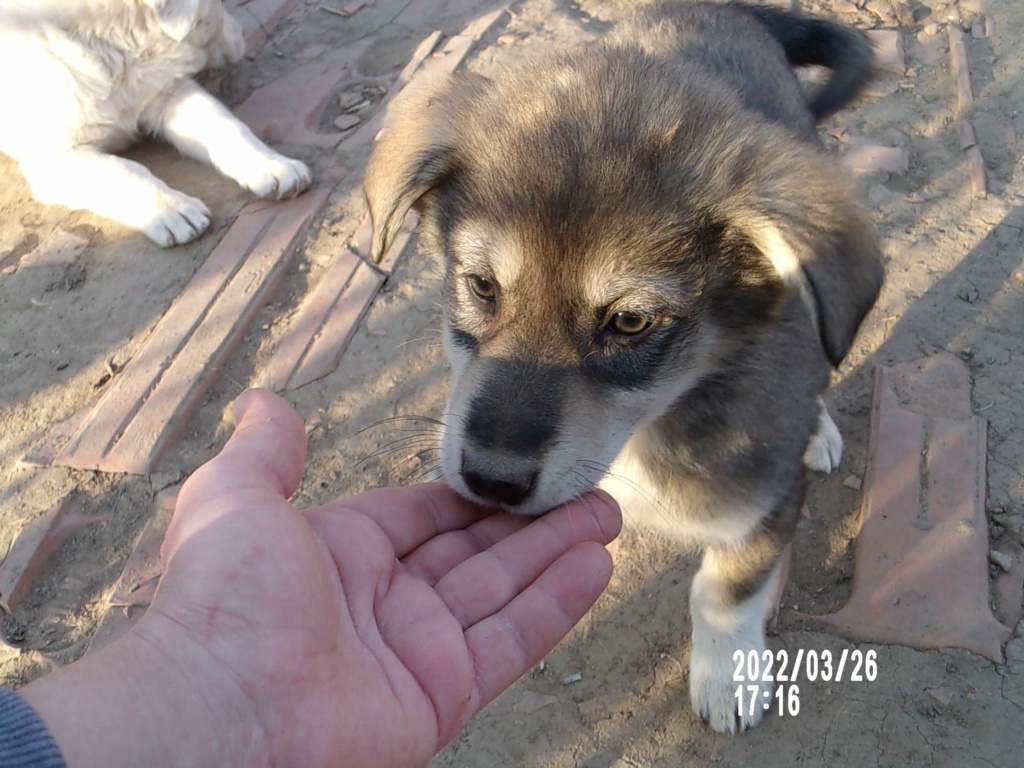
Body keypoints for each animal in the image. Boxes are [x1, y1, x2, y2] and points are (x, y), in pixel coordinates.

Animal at [0, 0, 309, 246]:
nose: (243, 34)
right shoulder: (51, 156)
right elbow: (121, 169)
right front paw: (173, 210)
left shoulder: (166, 91)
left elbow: (226, 126)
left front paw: (273, 165)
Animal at [360, 0, 880, 733]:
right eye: (482, 285)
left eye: (631, 323)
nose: (491, 481)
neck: (650, 424)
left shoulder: (762, 502)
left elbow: (724, 591)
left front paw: (729, 676)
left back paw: (821, 429)